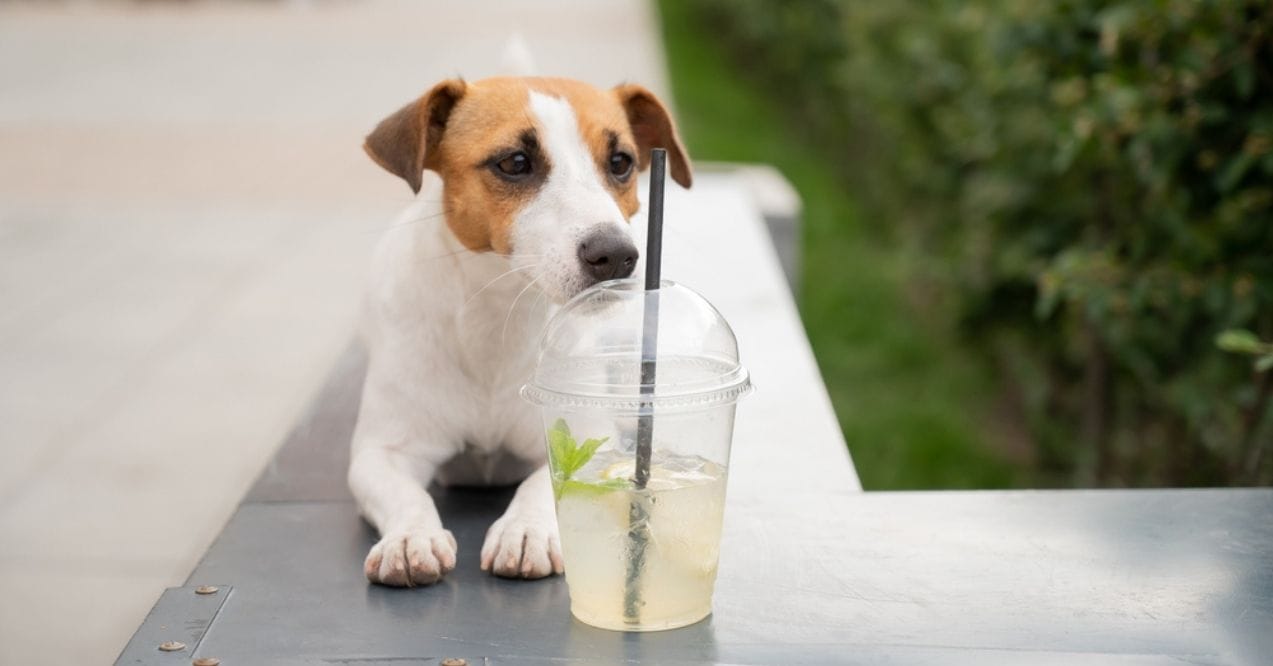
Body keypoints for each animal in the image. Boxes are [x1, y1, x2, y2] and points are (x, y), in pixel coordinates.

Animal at [348, 78, 692, 585]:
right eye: (514, 162)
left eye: (620, 162)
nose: (615, 254)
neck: (497, 316)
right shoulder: (382, 451)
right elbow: (408, 494)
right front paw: (411, 537)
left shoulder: (580, 435)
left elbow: (543, 480)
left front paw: (525, 529)